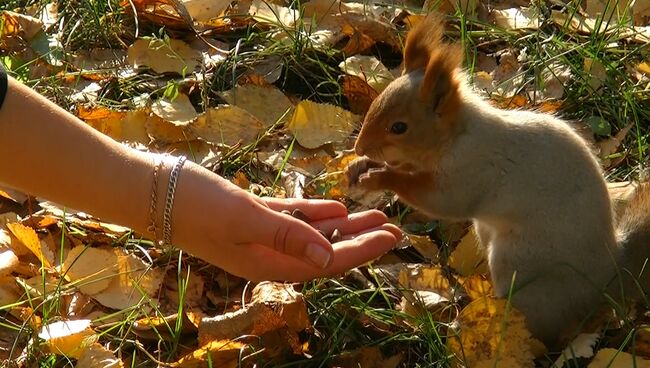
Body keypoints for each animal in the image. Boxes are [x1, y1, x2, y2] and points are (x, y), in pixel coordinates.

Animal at [346, 13, 648, 348]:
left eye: (400, 127)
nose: (359, 147)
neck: (459, 135)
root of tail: (608, 274)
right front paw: (359, 166)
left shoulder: (471, 171)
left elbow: (440, 201)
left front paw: (380, 177)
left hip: (519, 264)